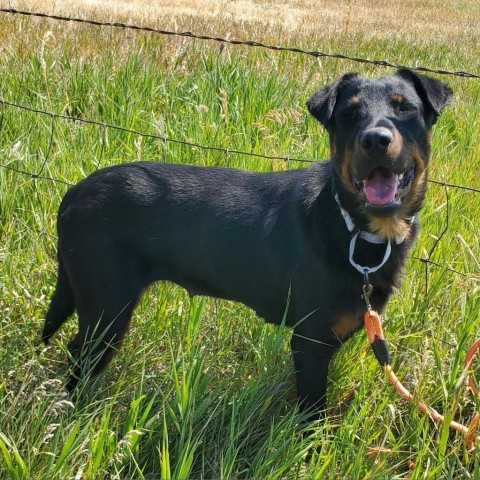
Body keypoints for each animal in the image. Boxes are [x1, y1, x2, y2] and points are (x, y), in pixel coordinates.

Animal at [40, 68, 450, 416]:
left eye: (405, 108)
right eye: (349, 113)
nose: (376, 140)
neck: (357, 228)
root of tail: (74, 192)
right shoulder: (311, 342)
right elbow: (313, 414)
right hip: (107, 308)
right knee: (79, 357)